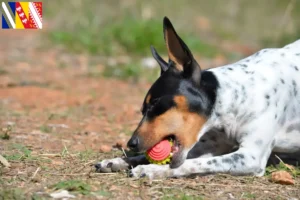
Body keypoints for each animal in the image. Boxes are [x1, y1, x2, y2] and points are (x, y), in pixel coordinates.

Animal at [95, 17, 300, 179]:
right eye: (143, 110)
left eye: (156, 103)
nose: (132, 143)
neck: (234, 96)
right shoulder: (210, 146)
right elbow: (156, 157)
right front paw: (117, 161)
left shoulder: (251, 157)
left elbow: (188, 164)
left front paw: (152, 170)